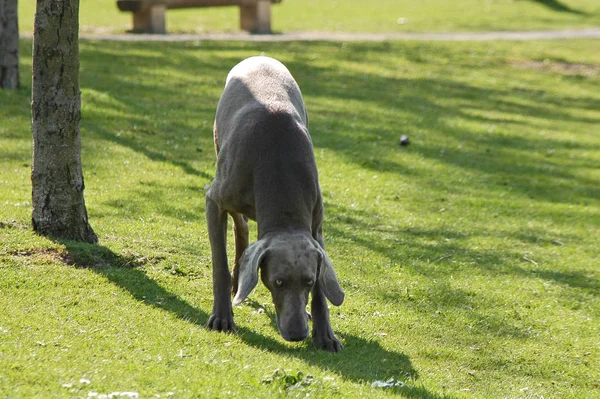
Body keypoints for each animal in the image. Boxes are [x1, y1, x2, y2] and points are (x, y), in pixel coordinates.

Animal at [206, 54, 344, 352]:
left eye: (308, 281)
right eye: (278, 282)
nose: (297, 334)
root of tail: (259, 56)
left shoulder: (316, 224)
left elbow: (322, 292)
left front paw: (325, 334)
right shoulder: (213, 198)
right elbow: (219, 263)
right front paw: (222, 318)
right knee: (240, 224)